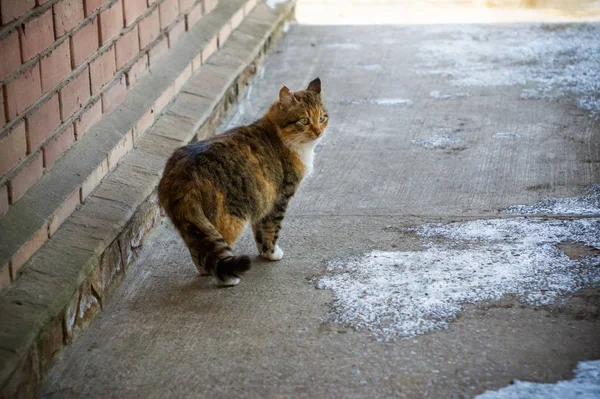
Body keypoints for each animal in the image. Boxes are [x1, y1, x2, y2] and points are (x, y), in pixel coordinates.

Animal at [158, 76, 328, 286]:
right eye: (304, 120)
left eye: (322, 118)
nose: (319, 131)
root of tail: (184, 173)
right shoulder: (279, 199)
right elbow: (271, 229)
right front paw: (272, 254)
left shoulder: (262, 198)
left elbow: (260, 232)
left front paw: (264, 252)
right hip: (230, 219)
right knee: (216, 249)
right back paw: (228, 278)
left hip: (194, 225)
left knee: (199, 251)